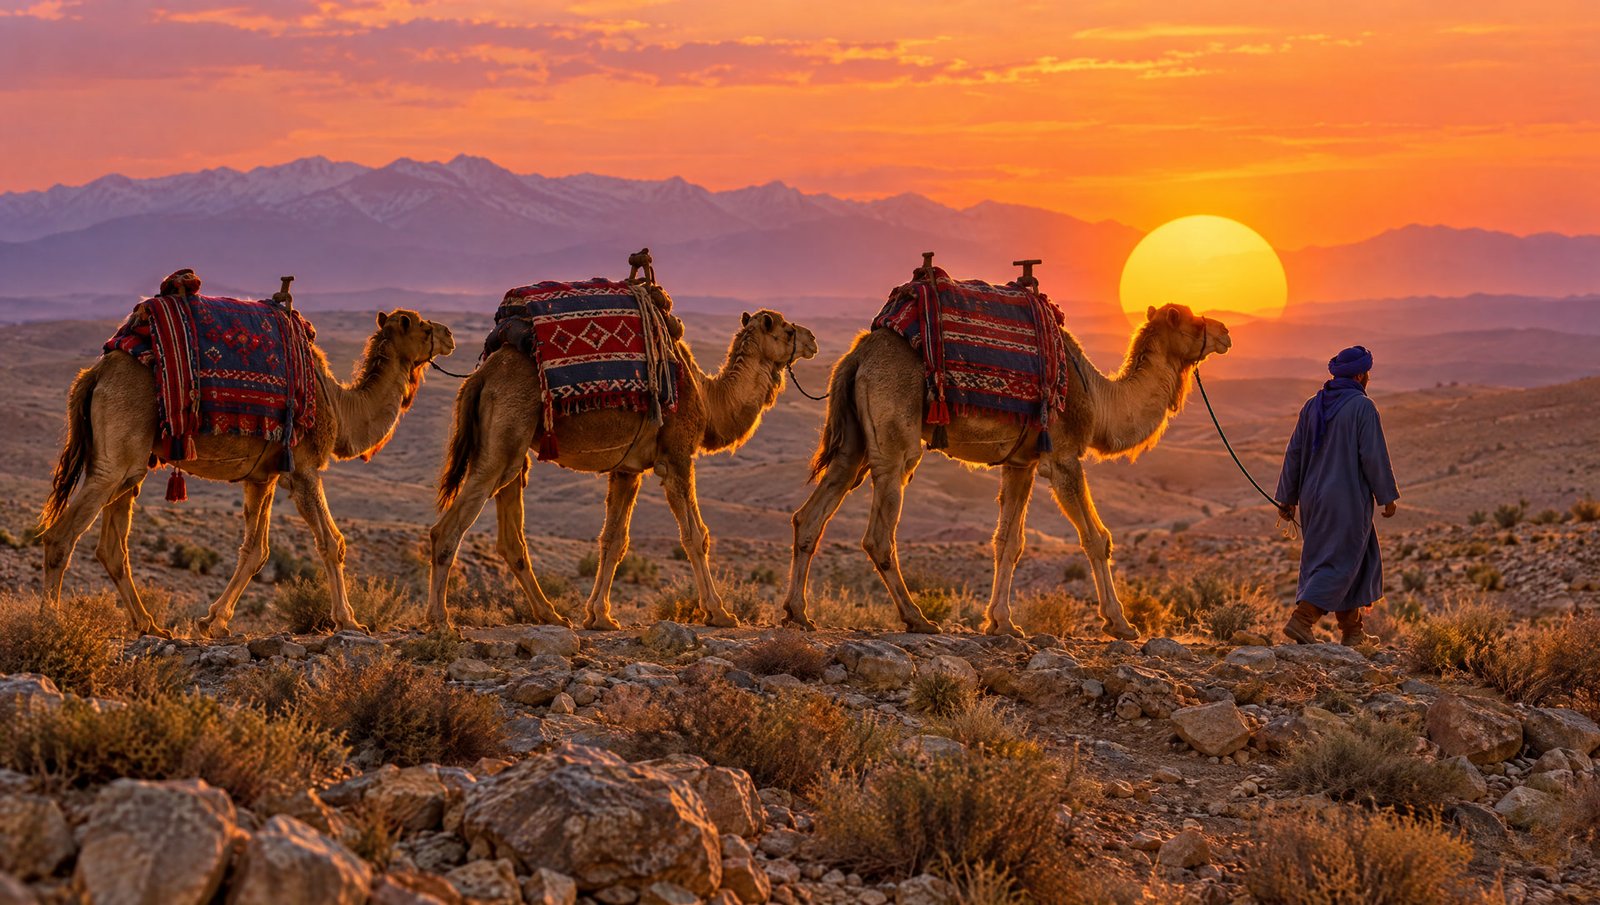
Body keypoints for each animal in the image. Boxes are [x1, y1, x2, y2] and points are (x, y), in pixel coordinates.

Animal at [37, 308, 456, 638]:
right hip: (115, 458)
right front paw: (350, 622)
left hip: (131, 466)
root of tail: (93, 374)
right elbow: (331, 542)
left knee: (112, 547)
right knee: (60, 536)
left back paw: (149, 625)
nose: (450, 334)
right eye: (422, 325)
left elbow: (256, 551)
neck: (339, 406)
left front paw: (213, 622)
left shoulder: (262, 477)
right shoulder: (303, 469)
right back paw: (50, 621)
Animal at [429, 308, 818, 631]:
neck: (709, 400)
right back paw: (440, 621)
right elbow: (696, 536)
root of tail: (479, 378)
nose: (812, 339)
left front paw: (599, 616)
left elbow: (614, 540)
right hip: (502, 443)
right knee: (445, 530)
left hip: (513, 448)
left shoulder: (628, 470)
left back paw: (551, 615)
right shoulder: (676, 458)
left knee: (511, 539)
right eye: (787, 330)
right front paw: (719, 612)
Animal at [781, 302, 1231, 639]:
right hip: (895, 440)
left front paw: (1001, 623)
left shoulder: (1020, 463)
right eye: (1193, 321)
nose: (1225, 331)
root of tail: (857, 355)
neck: (1098, 398)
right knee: (878, 533)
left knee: (811, 515)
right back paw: (918, 619)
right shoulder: (1063, 457)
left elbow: (1008, 542)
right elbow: (1096, 538)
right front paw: (1120, 623)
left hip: (853, 444)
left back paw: (798, 613)